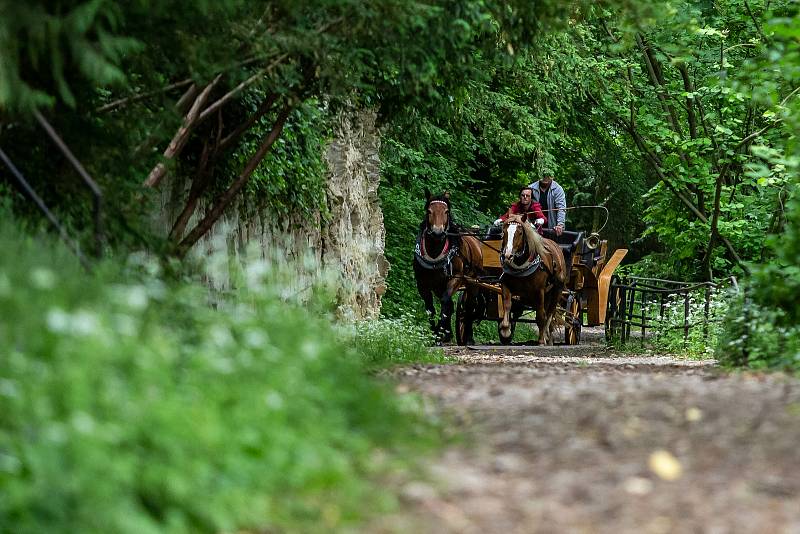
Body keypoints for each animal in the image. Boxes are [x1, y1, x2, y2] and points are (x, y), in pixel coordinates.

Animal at [416, 192, 484, 344]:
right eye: (429, 211)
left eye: (446, 211)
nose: (437, 233)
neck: (435, 253)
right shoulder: (423, 284)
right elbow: (430, 308)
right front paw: (436, 334)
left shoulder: (455, 279)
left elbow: (445, 302)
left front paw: (440, 334)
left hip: (473, 282)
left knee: (469, 307)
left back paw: (468, 337)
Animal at [500, 215, 568, 346]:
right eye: (504, 232)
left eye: (520, 233)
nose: (507, 256)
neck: (521, 267)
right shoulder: (506, 285)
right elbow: (507, 305)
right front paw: (505, 330)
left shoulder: (538, 291)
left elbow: (541, 316)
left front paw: (541, 340)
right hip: (547, 293)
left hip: (557, 290)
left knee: (550, 313)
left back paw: (548, 338)